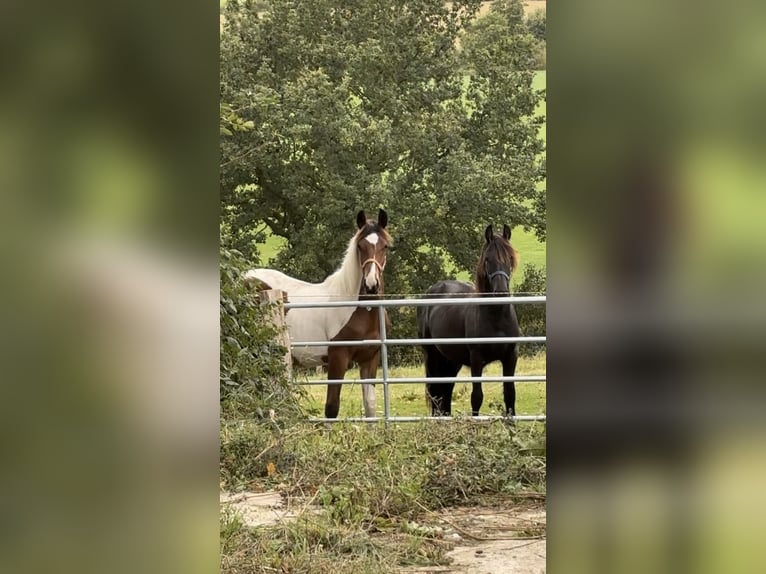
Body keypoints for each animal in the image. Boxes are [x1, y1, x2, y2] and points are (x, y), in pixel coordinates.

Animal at [244, 210, 392, 418]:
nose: (371, 285)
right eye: (360, 246)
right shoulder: (338, 358)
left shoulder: (370, 359)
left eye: (385, 246)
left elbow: (370, 406)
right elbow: (331, 408)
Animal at [420, 224, 520, 418]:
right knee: (436, 392)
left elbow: (510, 395)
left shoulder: (510, 356)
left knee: (446, 390)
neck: (496, 317)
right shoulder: (476, 358)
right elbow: (477, 397)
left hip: (452, 359)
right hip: (433, 355)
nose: (501, 292)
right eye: (487, 259)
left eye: (510, 258)